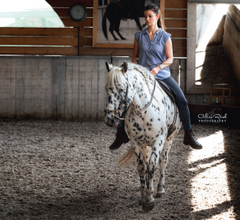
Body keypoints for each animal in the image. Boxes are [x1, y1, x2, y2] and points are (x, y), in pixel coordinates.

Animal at [104, 60, 181, 211]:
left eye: (121, 89)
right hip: (145, 145)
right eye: (106, 89)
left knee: (163, 162)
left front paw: (149, 200)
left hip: (168, 141)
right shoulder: (135, 142)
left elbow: (151, 166)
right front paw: (143, 196)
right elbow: (142, 167)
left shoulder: (158, 141)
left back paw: (160, 190)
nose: (110, 119)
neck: (142, 111)